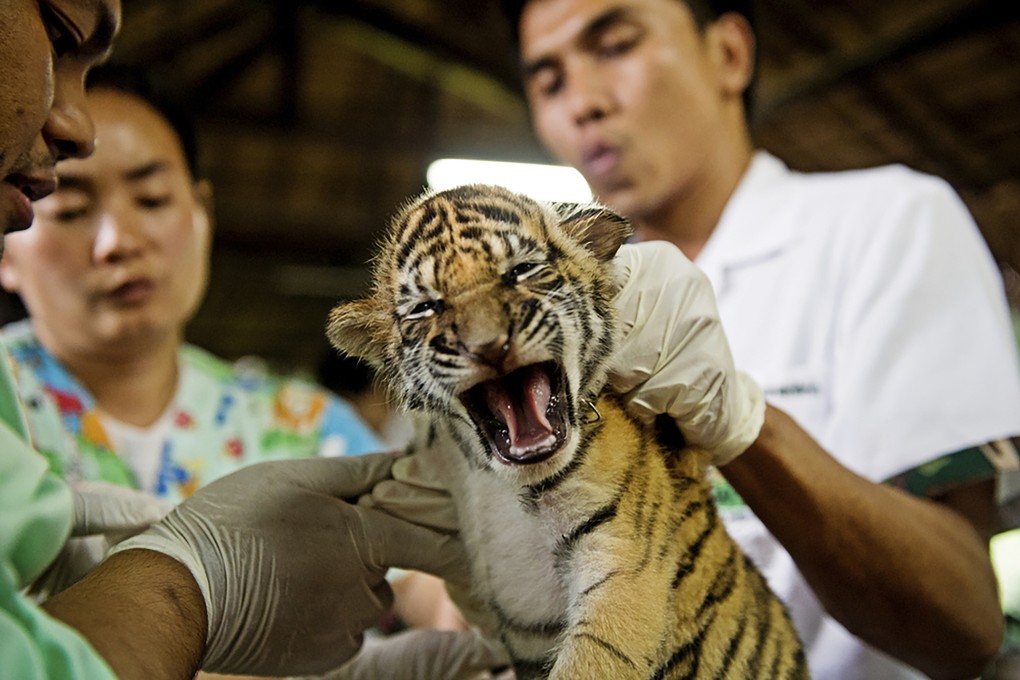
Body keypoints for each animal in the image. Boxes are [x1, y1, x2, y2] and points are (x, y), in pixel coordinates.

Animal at [327, 184, 808, 679]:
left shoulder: (623, 565)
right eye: (427, 306)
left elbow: (597, 658)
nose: (489, 347)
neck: (497, 480)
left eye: (520, 271)